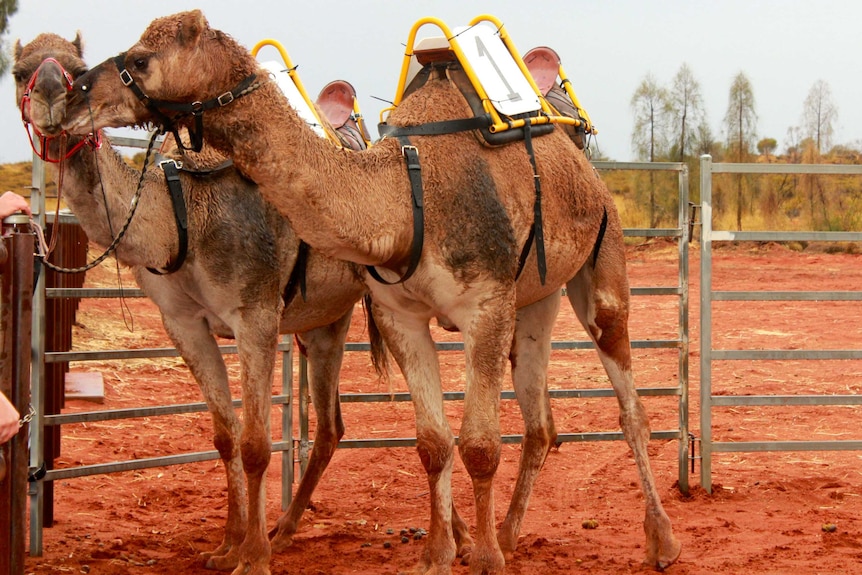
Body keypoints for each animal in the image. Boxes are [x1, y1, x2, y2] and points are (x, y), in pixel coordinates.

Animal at [12, 35, 378, 572]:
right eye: (20, 72)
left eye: (78, 69)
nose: (56, 94)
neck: (182, 214)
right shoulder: (183, 323)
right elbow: (225, 437)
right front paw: (228, 546)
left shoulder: (255, 315)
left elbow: (255, 444)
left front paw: (253, 557)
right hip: (326, 320)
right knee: (331, 427)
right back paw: (286, 527)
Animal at [59, 11, 680, 575]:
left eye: (142, 59)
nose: (73, 94)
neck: (403, 196)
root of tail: (583, 161)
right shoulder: (398, 313)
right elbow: (433, 442)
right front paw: (437, 557)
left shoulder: (484, 305)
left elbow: (479, 446)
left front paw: (484, 562)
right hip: (533, 300)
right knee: (540, 422)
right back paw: (508, 534)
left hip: (602, 260)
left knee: (629, 405)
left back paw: (661, 542)